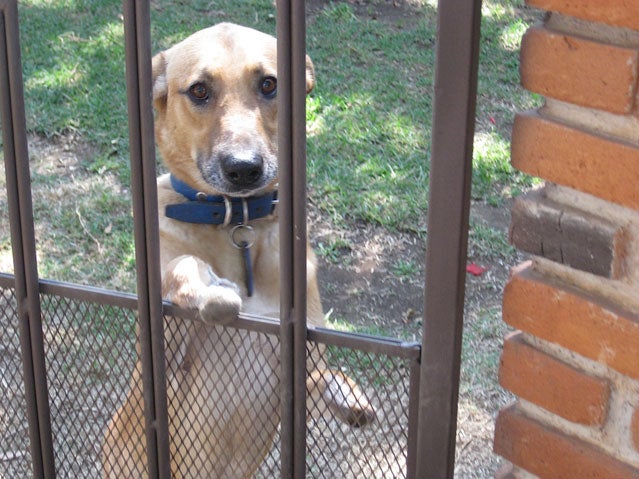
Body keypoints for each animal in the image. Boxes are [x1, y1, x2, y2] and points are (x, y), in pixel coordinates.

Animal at [101, 22, 376, 479]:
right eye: (198, 90)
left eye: (269, 84)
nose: (244, 168)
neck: (235, 222)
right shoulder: (162, 360)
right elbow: (184, 267)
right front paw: (207, 290)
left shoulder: (296, 373)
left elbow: (326, 375)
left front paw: (349, 394)